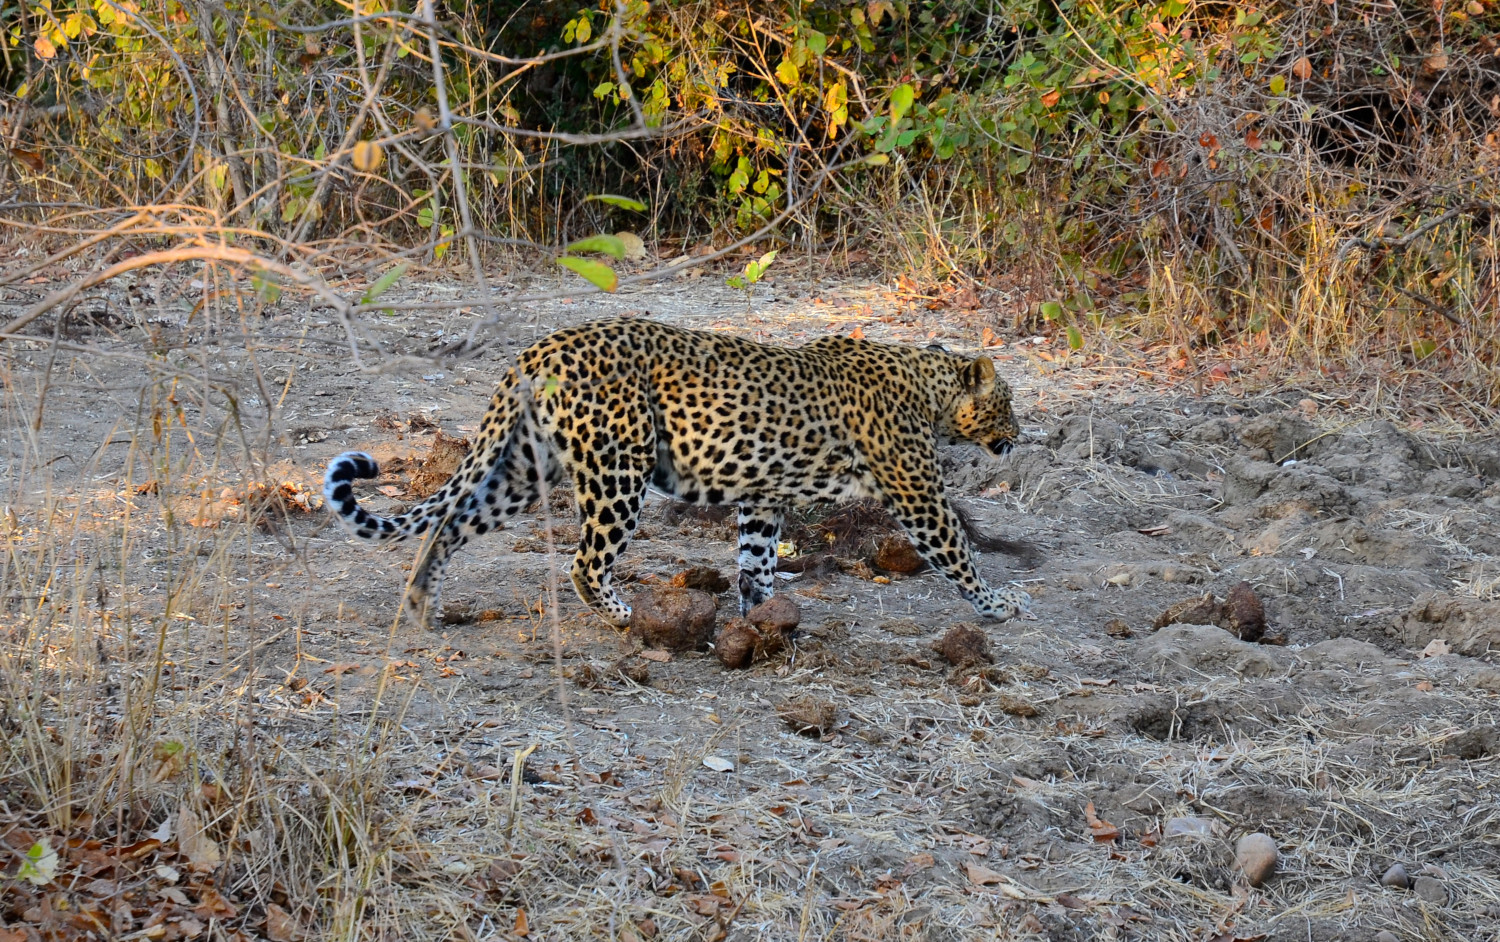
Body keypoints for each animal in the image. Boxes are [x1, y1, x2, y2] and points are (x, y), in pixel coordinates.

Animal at [323, 318, 1031, 628]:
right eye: (1007, 401)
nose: (1021, 436)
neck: (929, 389)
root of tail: (540, 345)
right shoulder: (918, 494)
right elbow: (957, 550)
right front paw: (997, 604)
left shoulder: (762, 497)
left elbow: (756, 560)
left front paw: (762, 617)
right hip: (619, 467)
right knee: (584, 561)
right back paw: (621, 613)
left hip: (525, 469)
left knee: (448, 523)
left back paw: (422, 604)